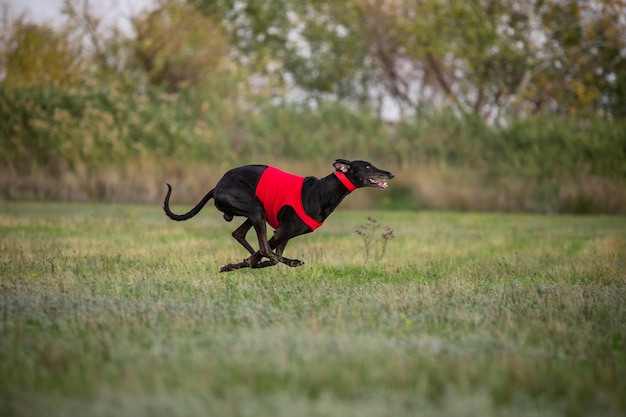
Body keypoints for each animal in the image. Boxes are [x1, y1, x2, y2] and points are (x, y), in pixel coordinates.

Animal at [163, 158, 392, 272]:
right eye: (367, 166)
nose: (390, 173)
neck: (322, 191)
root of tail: (216, 187)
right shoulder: (281, 231)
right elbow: (268, 254)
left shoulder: (286, 234)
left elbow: (268, 256)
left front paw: (232, 266)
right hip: (255, 209)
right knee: (263, 248)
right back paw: (289, 262)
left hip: (256, 212)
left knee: (240, 235)